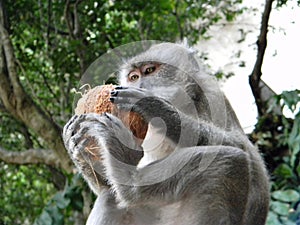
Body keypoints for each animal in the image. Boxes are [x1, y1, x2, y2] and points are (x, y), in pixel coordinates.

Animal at [62, 42, 270, 225]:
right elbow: (106, 186)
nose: (139, 85)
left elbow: (242, 147)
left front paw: (156, 107)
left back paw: (131, 180)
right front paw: (78, 149)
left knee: (231, 160)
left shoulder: (211, 94)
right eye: (133, 77)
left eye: (149, 71)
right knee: (109, 198)